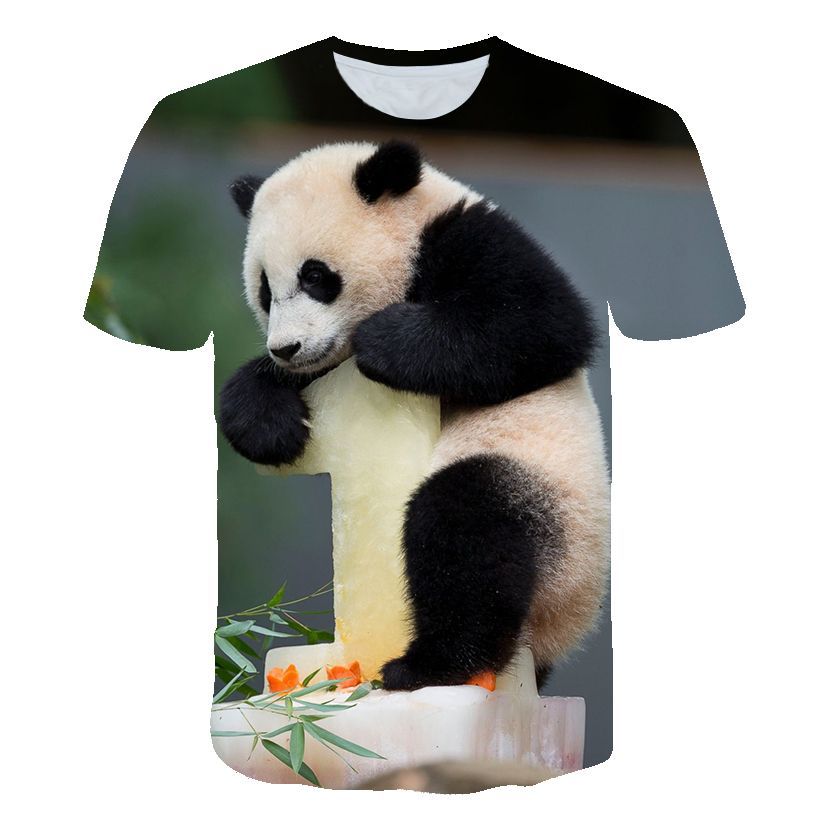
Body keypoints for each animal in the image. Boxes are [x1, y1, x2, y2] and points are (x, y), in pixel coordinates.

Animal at [220, 140, 610, 691]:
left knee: (466, 530)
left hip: (559, 515)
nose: (287, 348)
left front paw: (383, 342)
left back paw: (430, 663)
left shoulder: (473, 241)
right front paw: (270, 425)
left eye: (315, 276)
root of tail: (567, 630)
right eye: (264, 291)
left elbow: (541, 323)